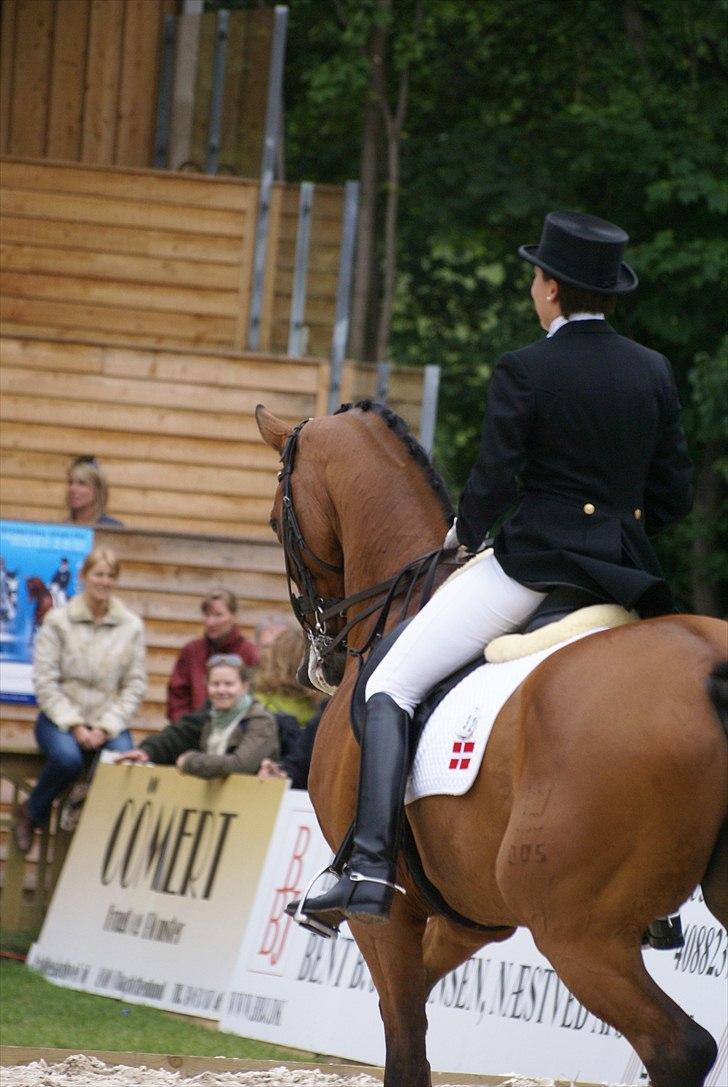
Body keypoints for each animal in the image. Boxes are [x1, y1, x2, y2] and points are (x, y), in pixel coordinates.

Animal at [256, 400, 728, 1087]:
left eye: (274, 520)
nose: (318, 660)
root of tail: (705, 664)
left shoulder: (391, 920)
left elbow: (406, 1046)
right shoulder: (471, 913)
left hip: (575, 928)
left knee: (679, 1046)